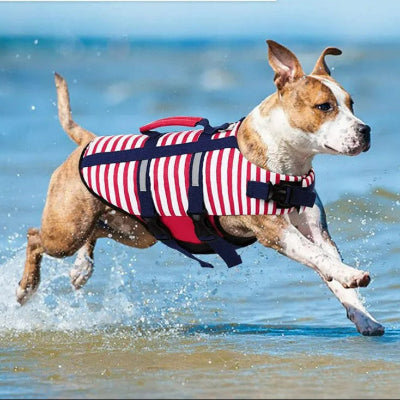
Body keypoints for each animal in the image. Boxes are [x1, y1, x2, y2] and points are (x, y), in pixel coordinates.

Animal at [16, 39, 384, 334]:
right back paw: (27, 287)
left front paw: (363, 316)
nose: (366, 130)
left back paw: (81, 269)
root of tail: (88, 141)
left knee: (95, 233)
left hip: (135, 231)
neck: (287, 165)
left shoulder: (317, 232)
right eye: (324, 107)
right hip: (67, 229)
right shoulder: (275, 230)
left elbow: (331, 272)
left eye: (351, 104)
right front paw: (351, 274)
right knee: (36, 237)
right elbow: (318, 259)